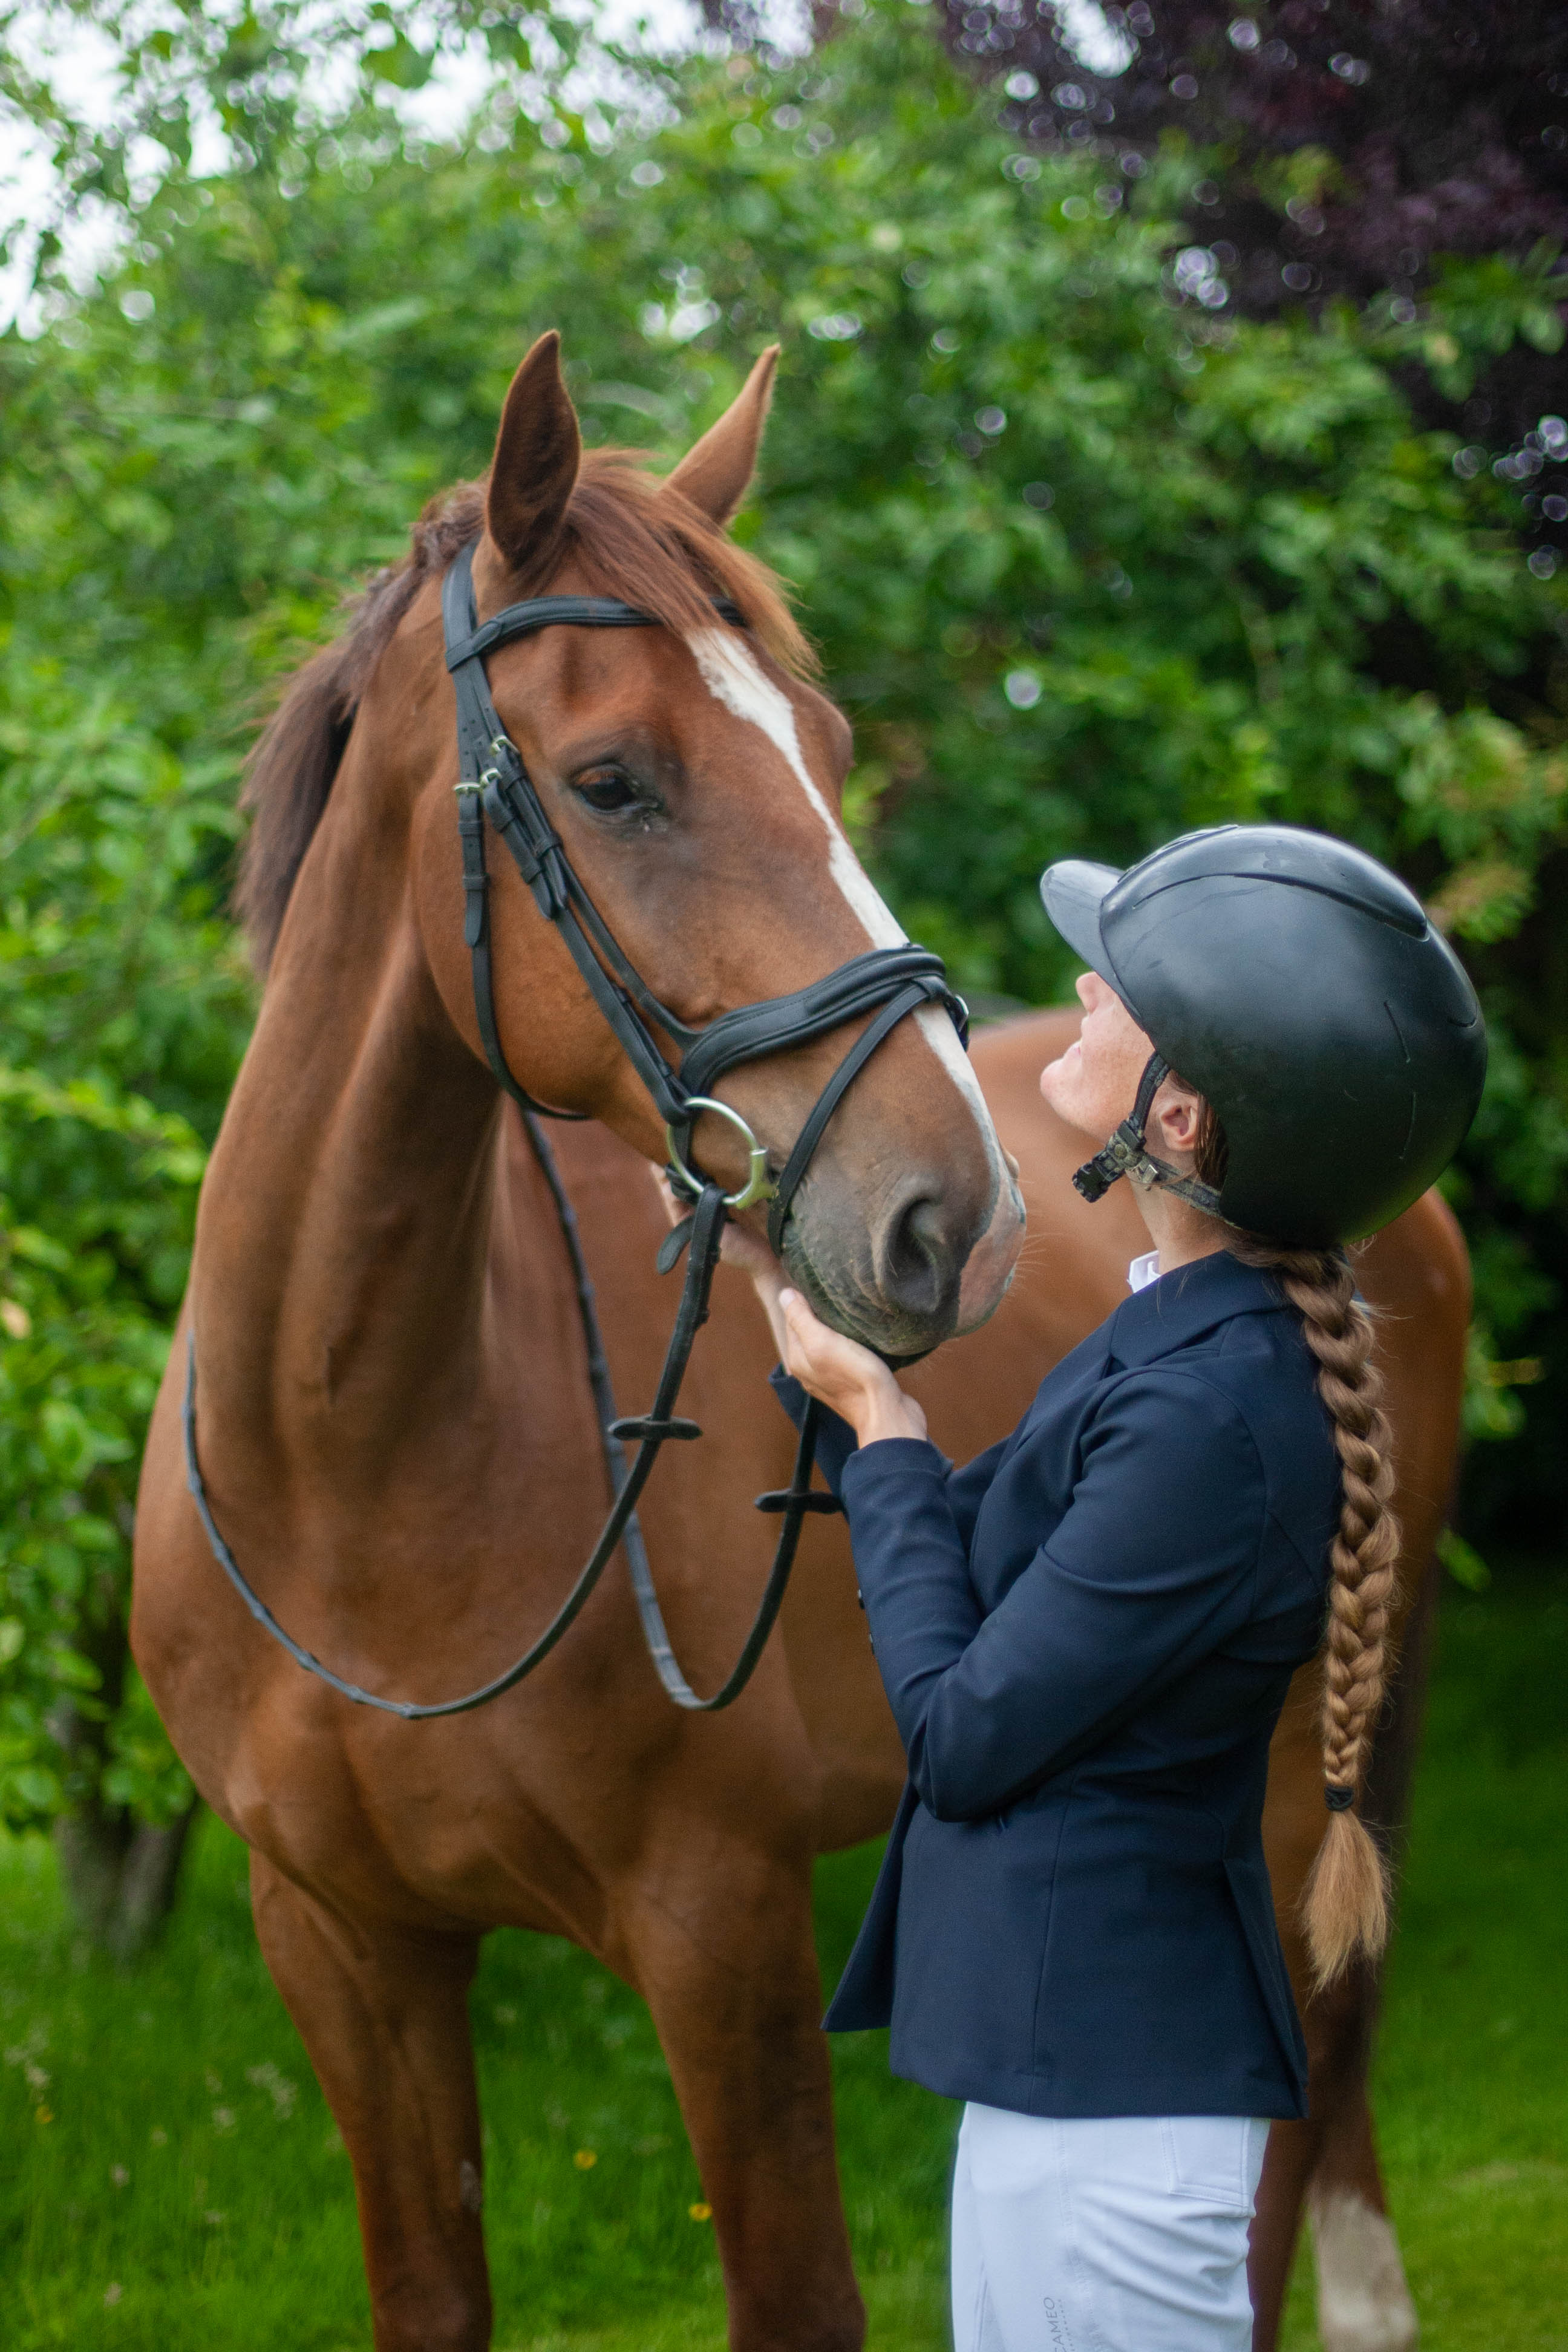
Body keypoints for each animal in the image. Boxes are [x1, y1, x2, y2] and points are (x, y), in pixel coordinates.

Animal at [132, 335, 1465, 2352]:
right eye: (613, 780)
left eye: (830, 758)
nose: (956, 1222)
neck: (360, 1476)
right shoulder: (347, 1951)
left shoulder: (721, 1931)